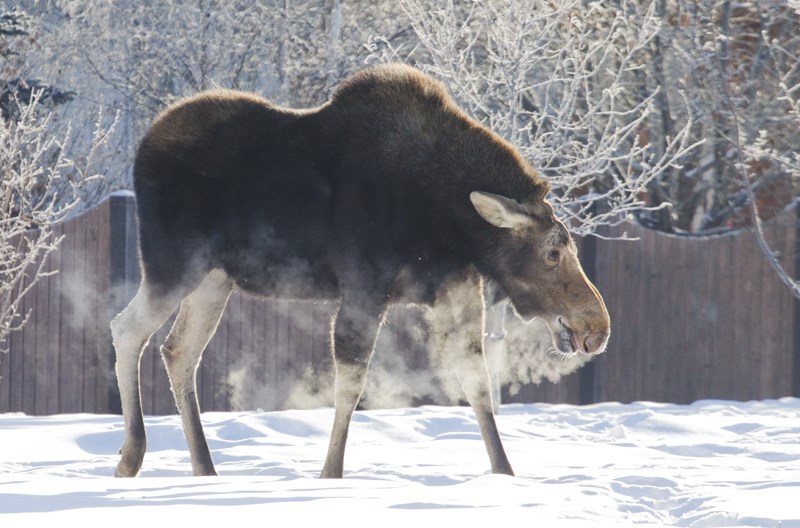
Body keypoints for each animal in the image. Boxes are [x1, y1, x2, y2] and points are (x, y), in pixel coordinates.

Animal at [112, 63, 608, 478]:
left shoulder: (456, 290)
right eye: (552, 252)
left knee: (179, 351)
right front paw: (331, 475)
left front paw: (504, 475)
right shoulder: (364, 289)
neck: (452, 221)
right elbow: (350, 388)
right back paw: (131, 457)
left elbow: (478, 384)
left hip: (213, 280)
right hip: (172, 264)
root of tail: (143, 146)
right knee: (126, 329)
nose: (597, 327)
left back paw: (204, 468)